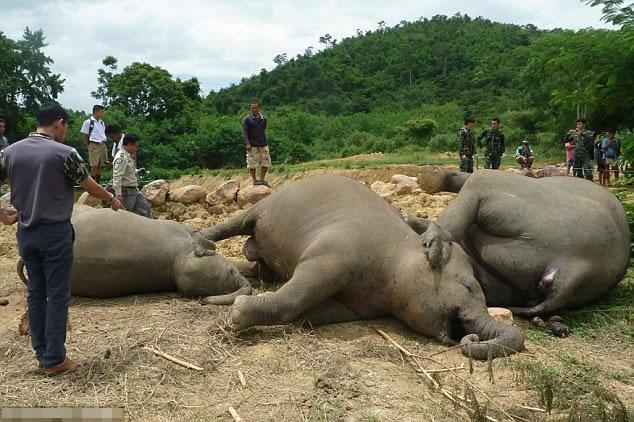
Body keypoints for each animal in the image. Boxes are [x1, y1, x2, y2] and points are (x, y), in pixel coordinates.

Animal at [202, 175, 524, 360]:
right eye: (469, 287)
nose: (469, 339)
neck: (399, 253)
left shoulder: (361, 306)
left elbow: (308, 313)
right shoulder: (333, 253)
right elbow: (296, 294)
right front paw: (237, 313)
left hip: (266, 254)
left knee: (259, 267)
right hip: (265, 207)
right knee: (233, 225)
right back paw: (201, 240)